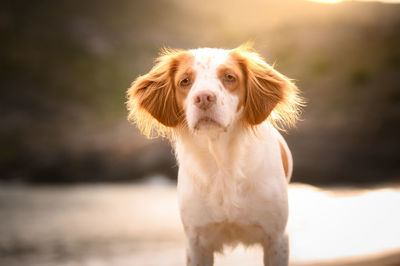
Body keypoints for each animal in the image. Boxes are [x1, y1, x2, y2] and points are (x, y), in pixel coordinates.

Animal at [126, 44, 302, 264]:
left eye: (229, 77)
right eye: (184, 81)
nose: (203, 98)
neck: (221, 162)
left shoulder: (276, 237)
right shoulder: (197, 242)